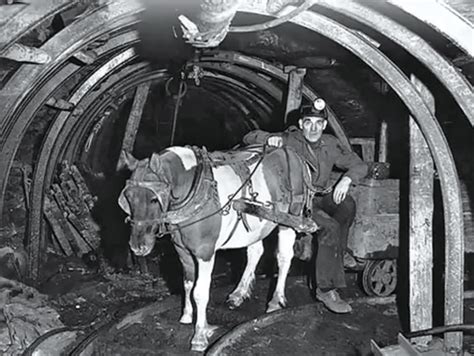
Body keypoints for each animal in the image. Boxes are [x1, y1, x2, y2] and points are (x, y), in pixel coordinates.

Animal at [117, 145, 316, 350]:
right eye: (128, 197)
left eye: (154, 199)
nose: (138, 246)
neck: (195, 191)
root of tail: (293, 154)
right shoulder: (182, 251)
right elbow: (187, 284)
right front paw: (187, 315)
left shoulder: (205, 252)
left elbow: (200, 292)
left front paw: (200, 335)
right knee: (255, 252)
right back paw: (239, 293)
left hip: (290, 218)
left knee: (284, 257)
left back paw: (276, 300)